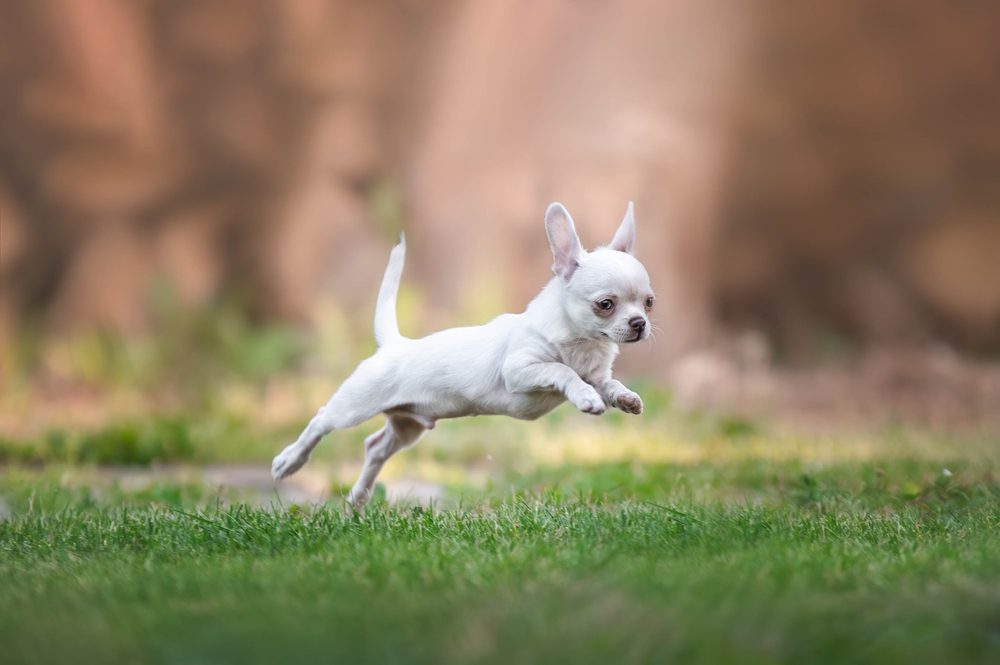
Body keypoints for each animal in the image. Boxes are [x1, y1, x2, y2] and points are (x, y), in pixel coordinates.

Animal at [270, 200, 652, 506]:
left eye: (649, 302)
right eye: (605, 304)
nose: (639, 323)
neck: (583, 343)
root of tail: (395, 344)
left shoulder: (598, 374)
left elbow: (608, 384)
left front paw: (626, 398)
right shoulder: (520, 369)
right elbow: (563, 371)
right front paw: (585, 397)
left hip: (408, 426)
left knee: (375, 447)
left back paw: (358, 498)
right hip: (354, 406)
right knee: (321, 420)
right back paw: (289, 461)